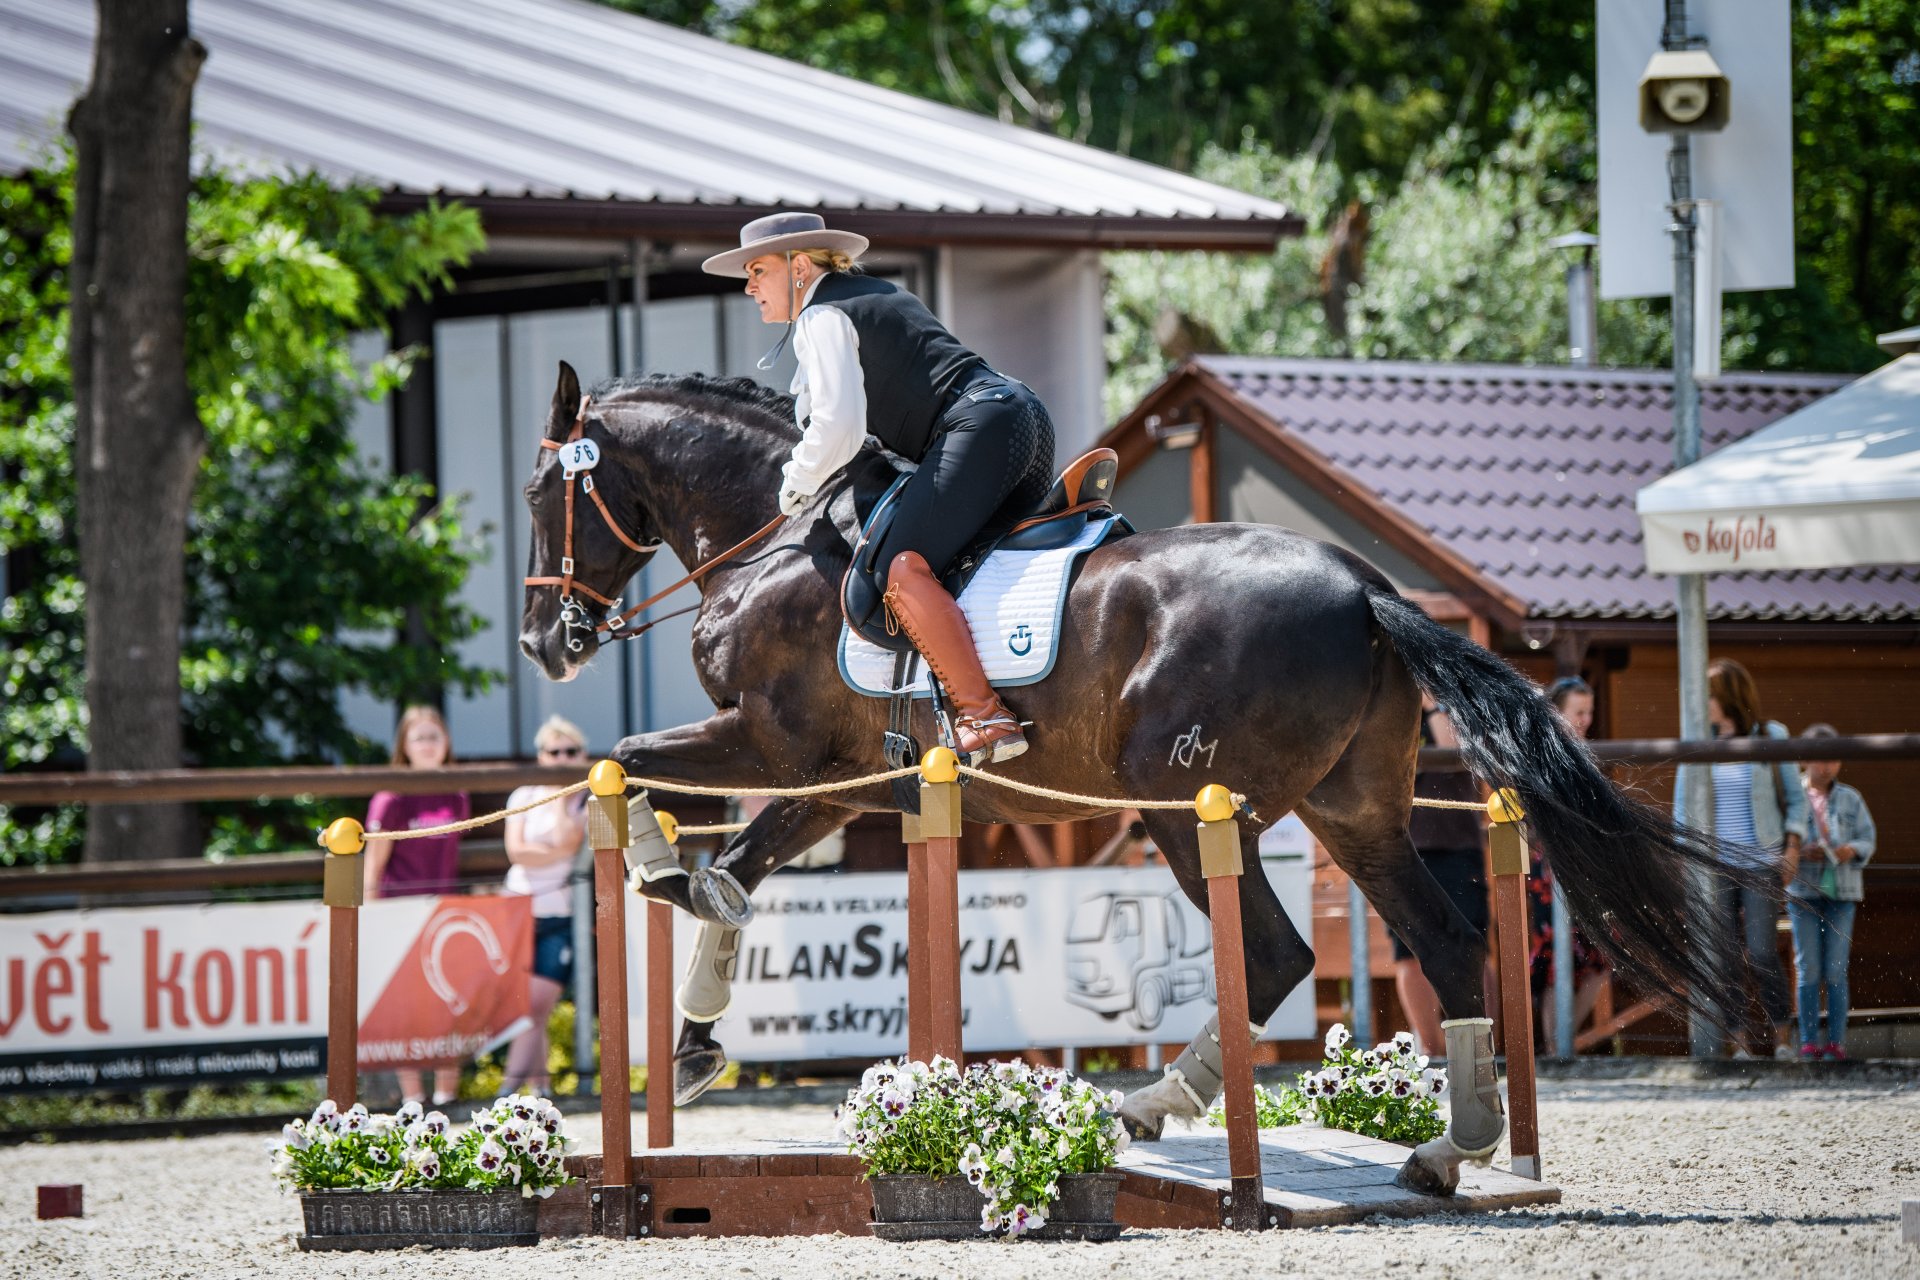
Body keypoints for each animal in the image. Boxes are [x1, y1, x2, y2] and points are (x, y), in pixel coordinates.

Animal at [518, 364, 1751, 1197]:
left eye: (540, 494)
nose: (543, 642)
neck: (775, 543)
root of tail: (1363, 588)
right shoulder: (837, 778)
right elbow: (737, 867)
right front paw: (696, 1033)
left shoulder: (770, 745)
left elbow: (631, 769)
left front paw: (663, 879)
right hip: (1356, 814)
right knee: (1443, 944)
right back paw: (1451, 1148)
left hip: (1179, 799)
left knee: (1276, 952)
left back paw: (1151, 1104)